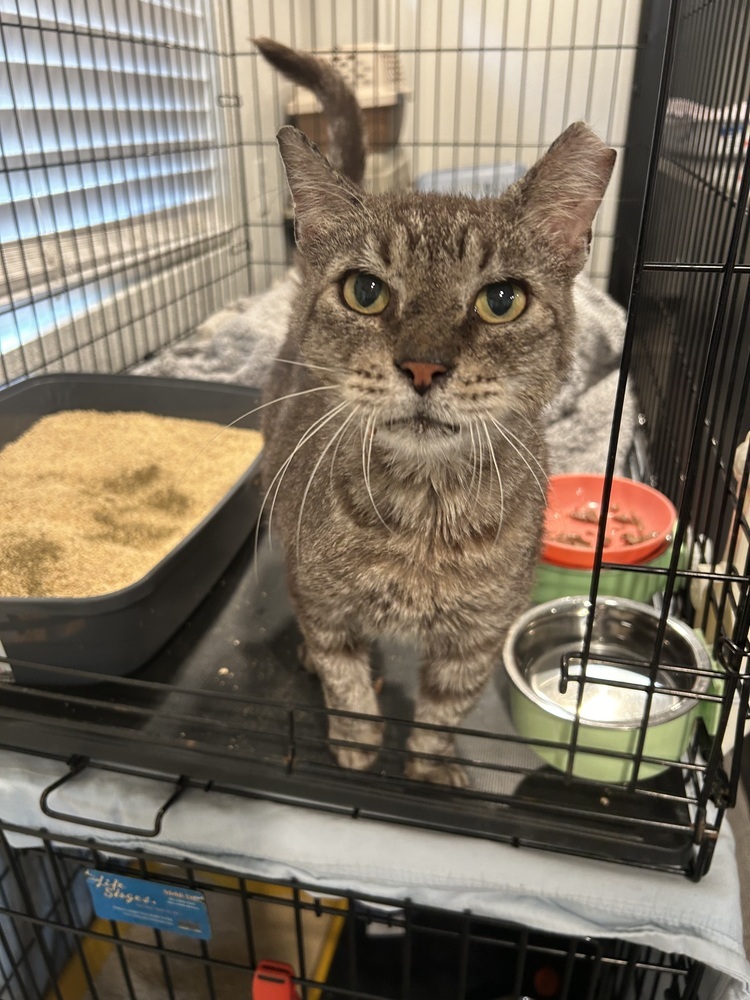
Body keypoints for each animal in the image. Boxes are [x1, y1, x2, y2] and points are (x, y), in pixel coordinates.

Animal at [256, 39, 612, 784]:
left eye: (502, 299)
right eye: (364, 291)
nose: (423, 366)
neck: (422, 517)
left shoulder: (476, 638)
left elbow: (444, 710)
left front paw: (428, 768)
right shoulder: (325, 604)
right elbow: (345, 678)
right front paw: (357, 743)